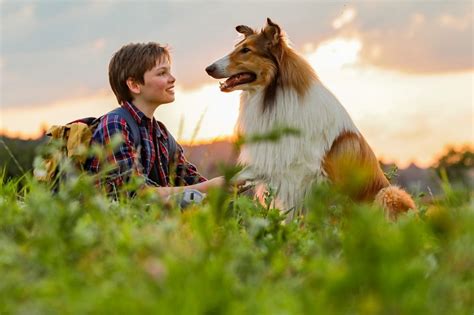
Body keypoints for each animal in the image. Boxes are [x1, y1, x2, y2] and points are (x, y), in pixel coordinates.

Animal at [205, 17, 414, 220]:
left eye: (246, 50)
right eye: (238, 48)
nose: (208, 68)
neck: (273, 96)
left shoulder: (307, 178)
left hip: (390, 194)